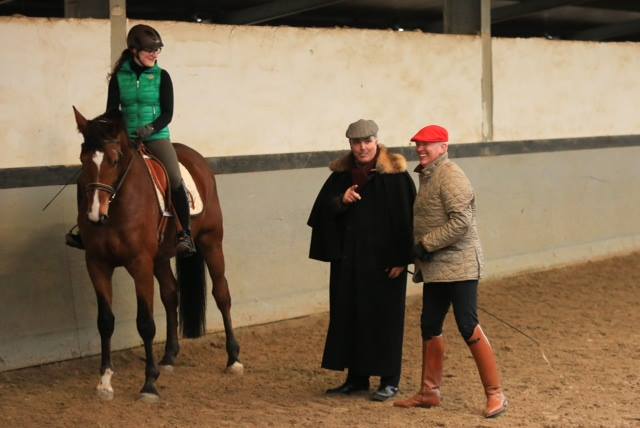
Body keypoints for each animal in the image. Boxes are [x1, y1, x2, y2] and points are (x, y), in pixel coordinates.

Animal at [72, 107, 242, 402]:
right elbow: (105, 321)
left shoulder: (140, 263)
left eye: (114, 160)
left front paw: (149, 383)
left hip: (211, 242)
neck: (116, 208)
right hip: (161, 258)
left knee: (222, 294)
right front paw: (105, 382)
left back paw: (233, 358)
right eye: (83, 159)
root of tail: (196, 158)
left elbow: (145, 323)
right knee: (171, 294)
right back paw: (169, 357)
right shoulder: (97, 264)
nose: (94, 214)